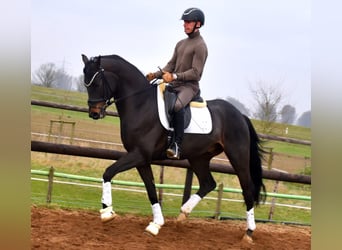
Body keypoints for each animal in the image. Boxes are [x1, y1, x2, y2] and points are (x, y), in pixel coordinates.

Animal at [81, 54, 266, 242]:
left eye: (96, 84)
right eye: (86, 84)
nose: (94, 113)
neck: (141, 105)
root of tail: (240, 115)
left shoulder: (139, 154)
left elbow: (109, 172)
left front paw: (106, 213)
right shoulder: (141, 159)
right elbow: (151, 189)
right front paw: (156, 224)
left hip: (237, 157)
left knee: (247, 188)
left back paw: (249, 232)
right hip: (199, 157)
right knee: (208, 183)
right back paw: (183, 214)